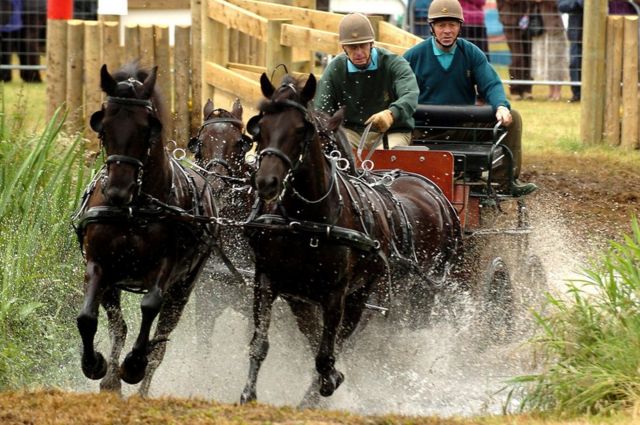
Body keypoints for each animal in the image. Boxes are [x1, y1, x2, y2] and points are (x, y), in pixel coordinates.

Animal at [73, 63, 218, 396]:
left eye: (145, 128)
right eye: (104, 126)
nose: (117, 191)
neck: (133, 211)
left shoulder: (166, 267)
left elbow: (150, 307)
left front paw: (133, 366)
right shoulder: (99, 264)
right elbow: (87, 318)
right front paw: (95, 365)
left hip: (185, 285)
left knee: (160, 340)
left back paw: (141, 385)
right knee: (119, 327)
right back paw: (111, 380)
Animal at [239, 72, 462, 404]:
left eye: (302, 129)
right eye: (260, 126)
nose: (266, 181)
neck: (306, 221)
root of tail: (430, 189)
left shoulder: (337, 294)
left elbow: (325, 354)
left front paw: (329, 383)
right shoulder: (271, 281)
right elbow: (263, 342)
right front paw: (248, 393)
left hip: (395, 295)